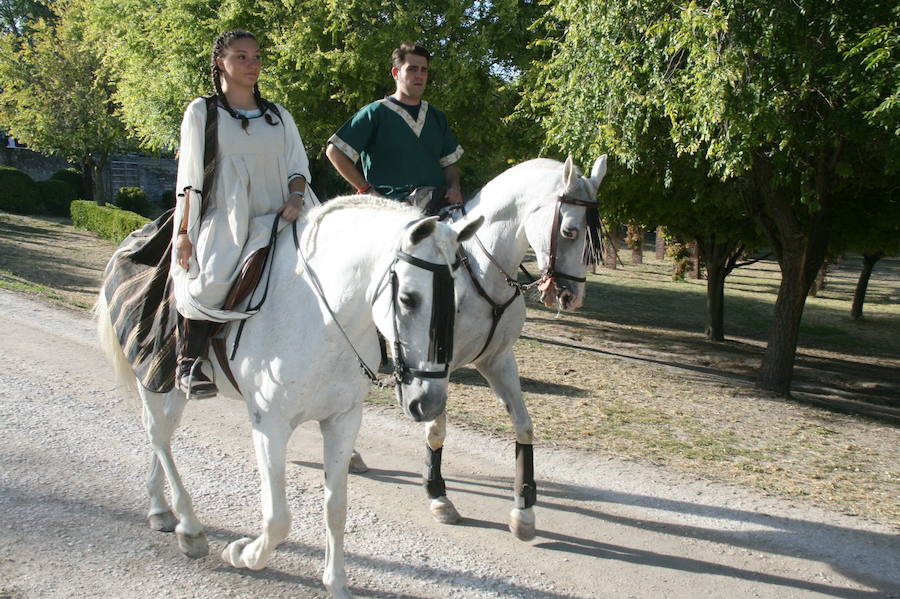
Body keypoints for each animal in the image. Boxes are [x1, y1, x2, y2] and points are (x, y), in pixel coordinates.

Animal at [95, 196, 482, 596]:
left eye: (458, 302)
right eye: (408, 298)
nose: (429, 403)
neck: (322, 317)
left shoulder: (343, 420)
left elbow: (336, 507)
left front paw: (336, 583)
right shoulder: (271, 425)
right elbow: (278, 518)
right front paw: (243, 554)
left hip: (174, 390)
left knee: (163, 437)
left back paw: (160, 510)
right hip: (153, 375)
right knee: (158, 436)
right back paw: (189, 529)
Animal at [352, 154, 604, 544]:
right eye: (570, 232)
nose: (570, 296)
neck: (479, 272)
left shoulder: (498, 361)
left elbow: (524, 427)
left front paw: (524, 510)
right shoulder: (436, 369)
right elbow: (436, 431)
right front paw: (438, 497)